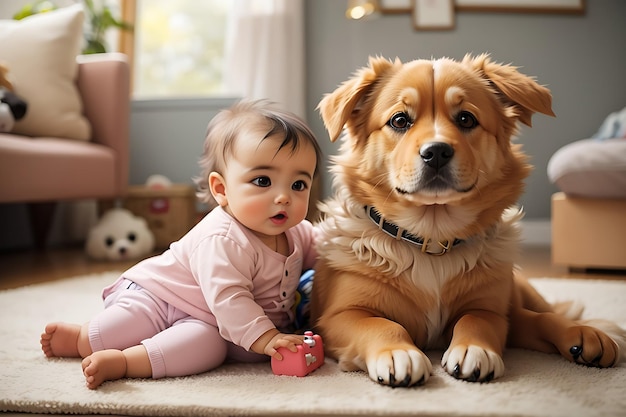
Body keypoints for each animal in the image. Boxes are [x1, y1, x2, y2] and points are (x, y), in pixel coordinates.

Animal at [308, 55, 624, 386]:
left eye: (466, 119)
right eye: (399, 120)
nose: (436, 152)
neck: (431, 241)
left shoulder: (492, 309)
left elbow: (477, 319)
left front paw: (475, 349)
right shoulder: (338, 316)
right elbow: (382, 324)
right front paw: (398, 352)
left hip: (520, 293)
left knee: (546, 313)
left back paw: (587, 332)